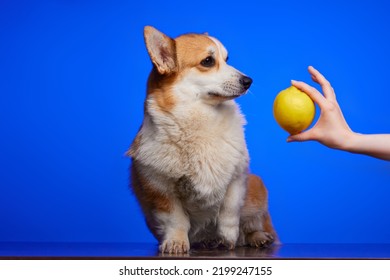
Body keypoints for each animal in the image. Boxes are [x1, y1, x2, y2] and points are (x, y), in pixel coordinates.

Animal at [128, 26, 278, 254]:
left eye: (227, 59)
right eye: (208, 61)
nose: (248, 80)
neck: (200, 119)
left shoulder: (237, 177)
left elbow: (230, 209)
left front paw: (228, 236)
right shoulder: (161, 188)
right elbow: (176, 219)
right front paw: (176, 242)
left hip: (256, 194)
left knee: (252, 225)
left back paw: (256, 237)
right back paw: (208, 241)